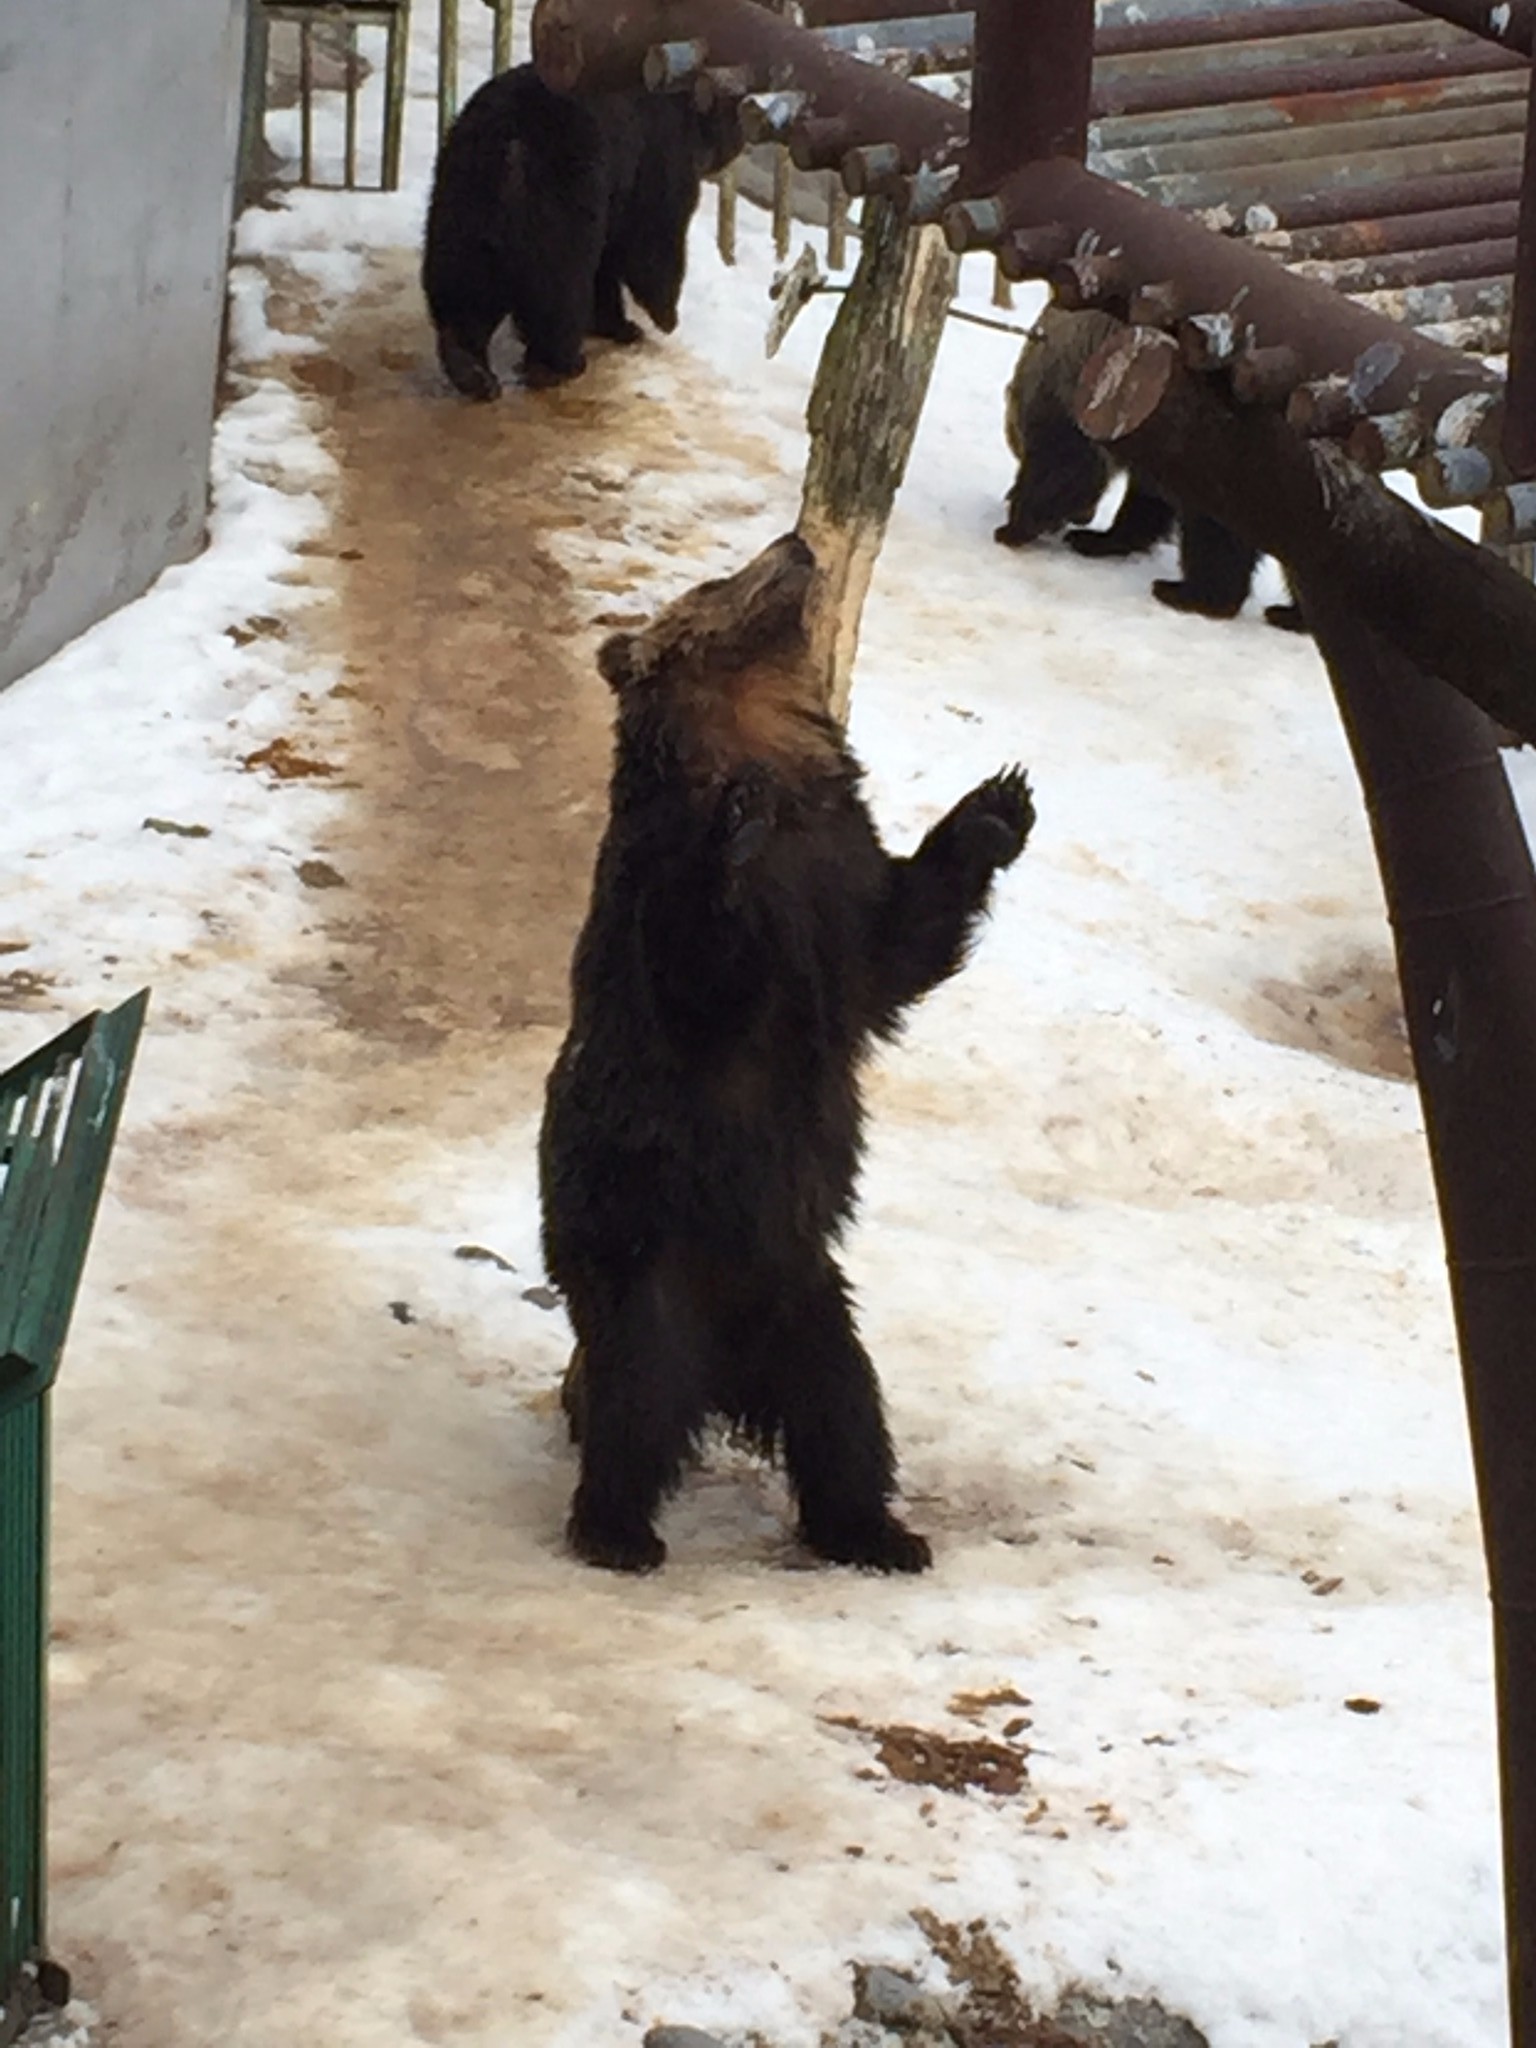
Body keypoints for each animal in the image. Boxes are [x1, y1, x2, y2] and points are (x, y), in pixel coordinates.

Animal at [536, 536, 1036, 1572]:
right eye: (718, 578)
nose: (798, 543)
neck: (750, 739)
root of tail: (729, 1372)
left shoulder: (843, 884)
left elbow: (902, 942)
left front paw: (997, 803)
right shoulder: (663, 901)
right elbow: (704, 973)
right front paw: (737, 832)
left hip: (806, 1297)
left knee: (843, 1410)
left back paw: (879, 1530)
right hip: (648, 1260)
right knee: (634, 1401)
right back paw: (616, 1529)